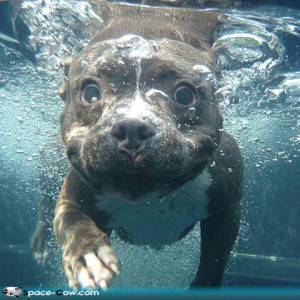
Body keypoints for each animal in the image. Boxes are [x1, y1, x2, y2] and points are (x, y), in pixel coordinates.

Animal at [30, 1, 243, 290]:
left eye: (184, 95)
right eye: (91, 93)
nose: (131, 127)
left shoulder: (227, 209)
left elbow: (213, 261)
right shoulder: (72, 199)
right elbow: (74, 225)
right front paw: (88, 255)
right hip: (48, 166)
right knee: (44, 203)